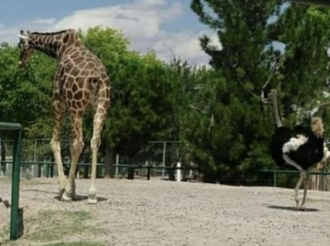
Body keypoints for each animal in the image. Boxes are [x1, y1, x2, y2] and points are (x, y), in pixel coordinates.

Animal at [17, 29, 111, 204]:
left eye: (20, 45)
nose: (20, 63)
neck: (59, 46)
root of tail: (97, 78)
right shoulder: (80, 108)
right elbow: (71, 145)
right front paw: (73, 189)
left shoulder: (58, 100)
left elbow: (55, 143)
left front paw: (64, 188)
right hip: (101, 107)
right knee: (94, 141)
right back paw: (92, 194)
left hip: (76, 106)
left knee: (79, 143)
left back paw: (67, 194)